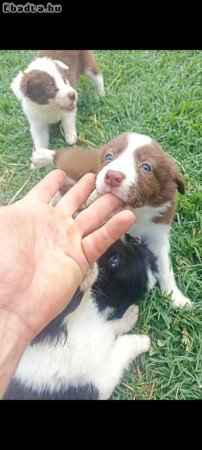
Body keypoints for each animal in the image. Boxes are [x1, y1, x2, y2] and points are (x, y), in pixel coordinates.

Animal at [3, 236, 157, 400]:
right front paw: (144, 341)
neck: (70, 323)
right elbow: (122, 345)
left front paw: (130, 315)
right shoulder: (98, 382)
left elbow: (111, 327)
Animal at [31, 132, 191, 308]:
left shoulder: (158, 229)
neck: (133, 212)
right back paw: (41, 156)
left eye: (146, 167)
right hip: (75, 164)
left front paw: (175, 296)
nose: (113, 176)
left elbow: (164, 263)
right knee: (65, 156)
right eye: (109, 157)